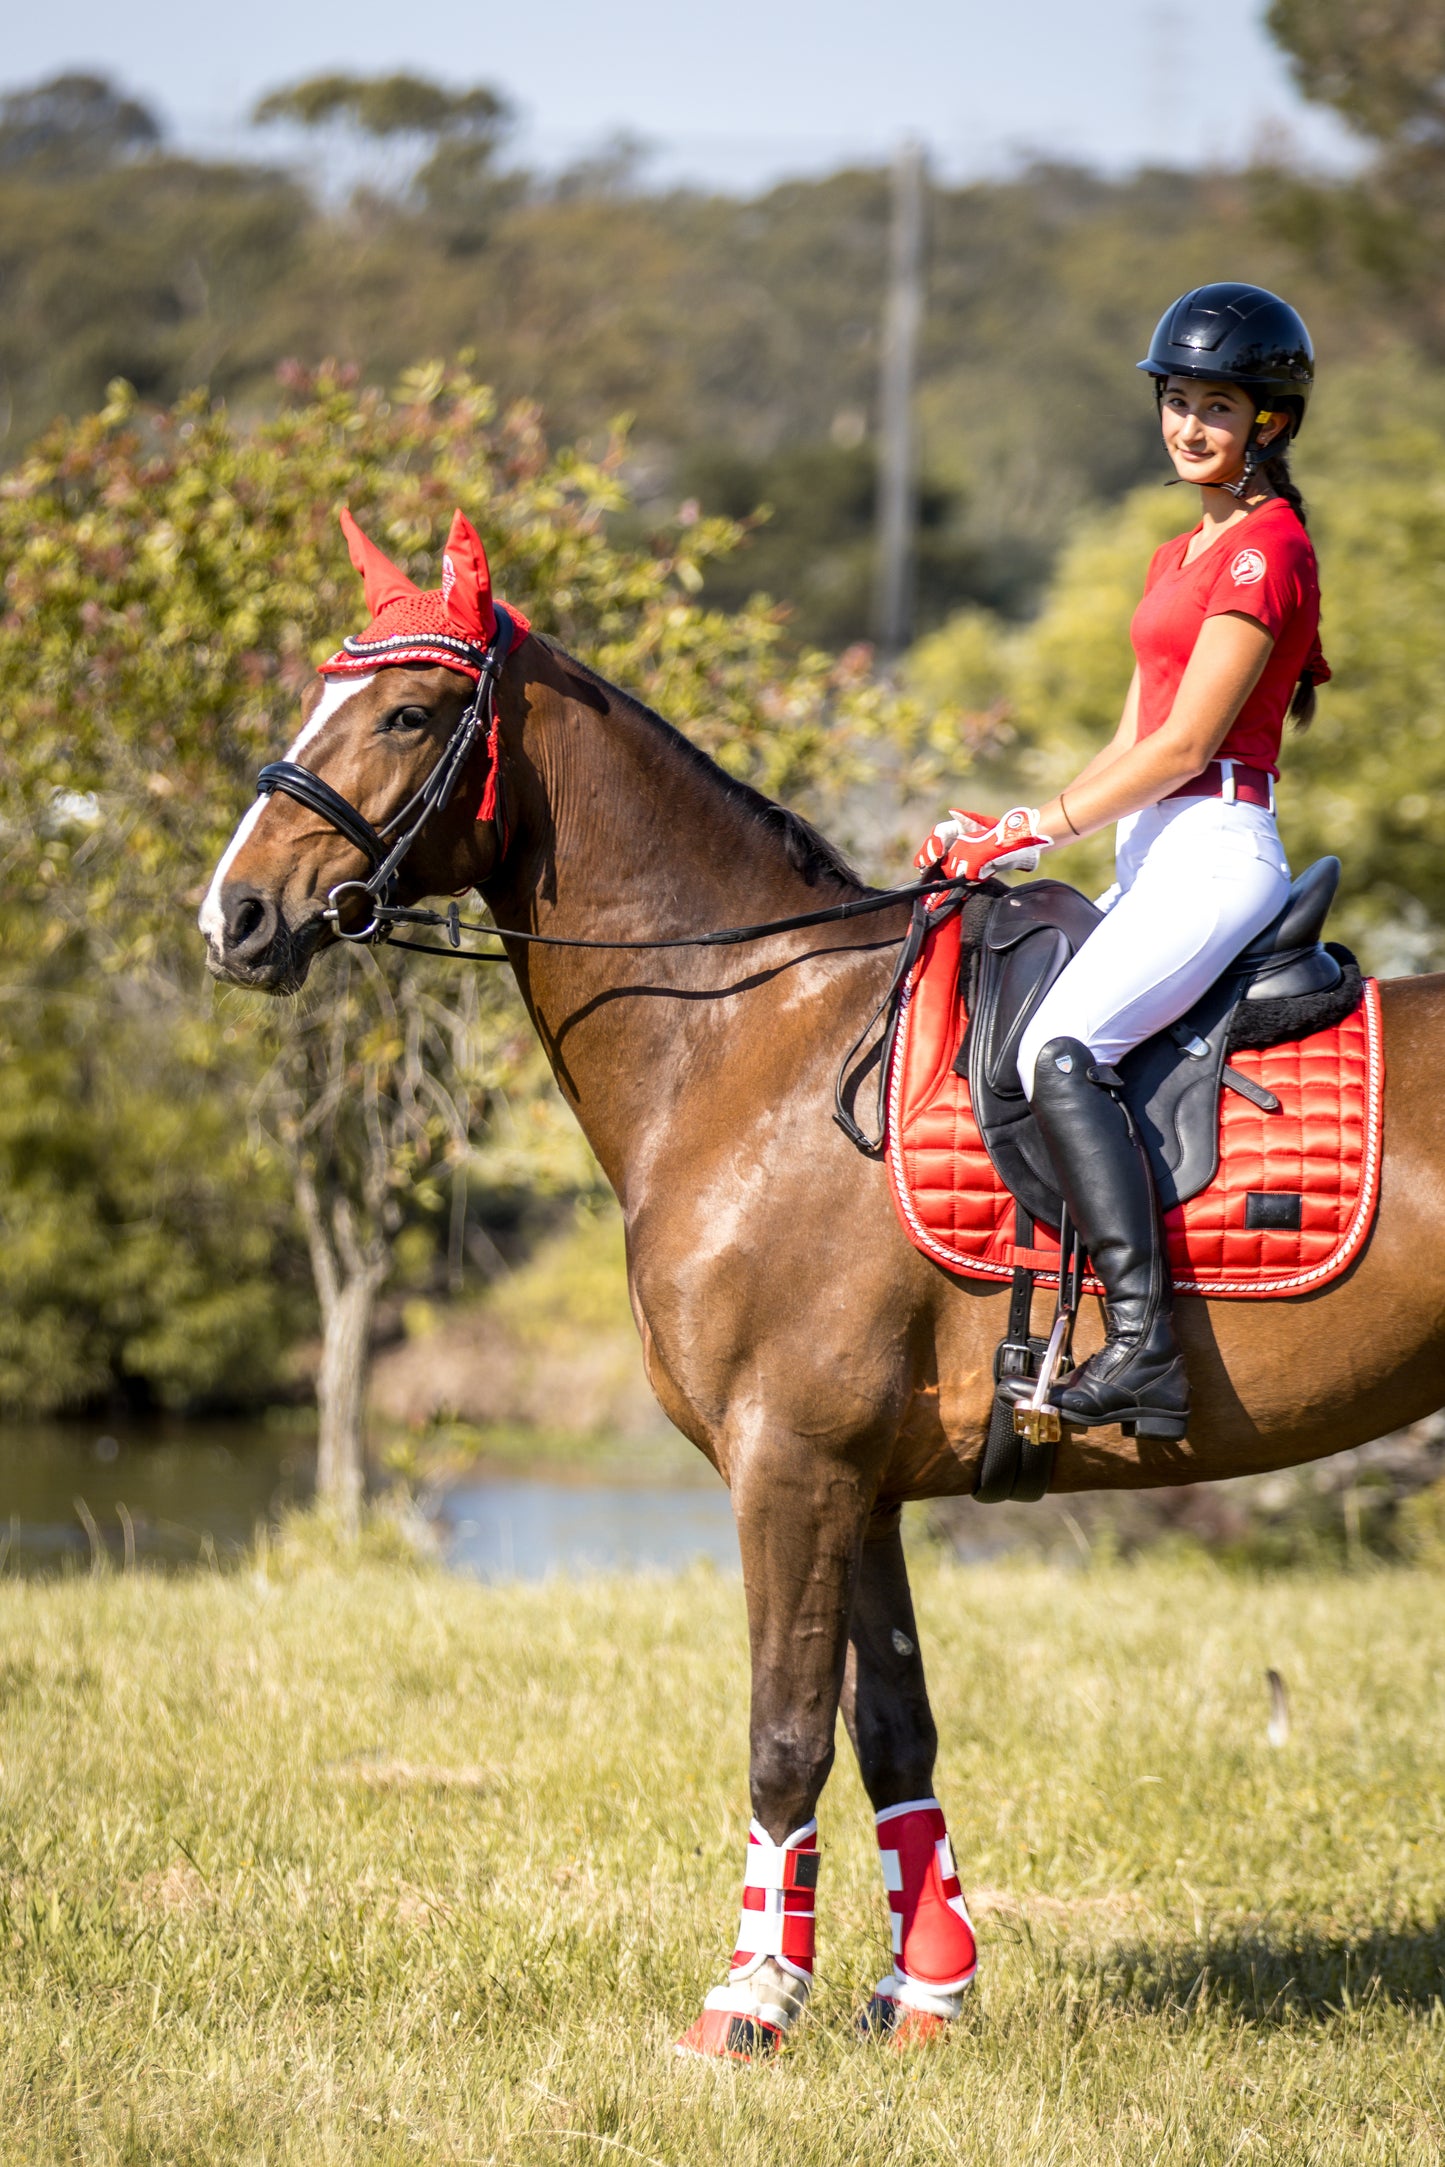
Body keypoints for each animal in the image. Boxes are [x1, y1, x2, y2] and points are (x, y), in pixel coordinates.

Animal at [200, 533, 1445, 2054]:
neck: (755, 1038)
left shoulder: (785, 1465)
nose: (233, 915)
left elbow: (783, 1729)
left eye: (407, 713)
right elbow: (890, 1726)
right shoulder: (860, 1480)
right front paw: (924, 1987)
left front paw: (747, 1999)